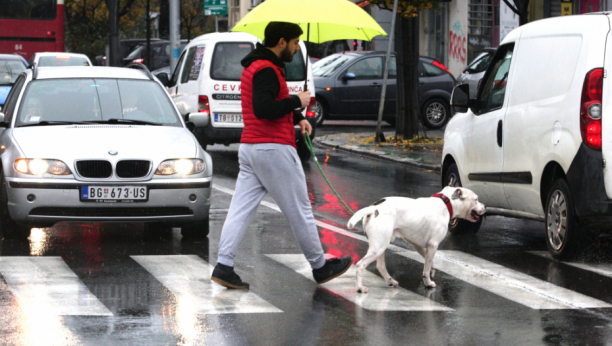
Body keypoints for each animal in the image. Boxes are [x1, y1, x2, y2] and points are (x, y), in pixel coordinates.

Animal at [346, 187, 486, 292]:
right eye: (476, 199)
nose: (485, 206)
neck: (447, 203)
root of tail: (374, 208)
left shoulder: (417, 244)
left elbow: (429, 262)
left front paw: (432, 271)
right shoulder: (433, 245)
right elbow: (426, 267)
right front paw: (428, 283)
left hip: (380, 246)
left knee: (380, 266)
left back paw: (390, 281)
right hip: (378, 247)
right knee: (360, 265)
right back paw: (360, 287)